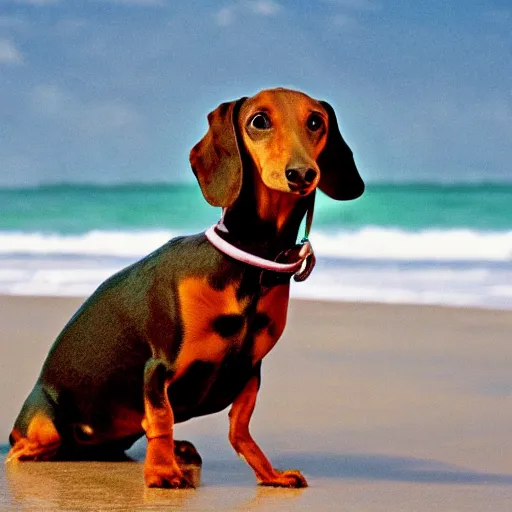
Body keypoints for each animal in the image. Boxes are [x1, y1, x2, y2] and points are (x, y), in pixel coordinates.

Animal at [6, 88, 362, 488]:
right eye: (258, 120)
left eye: (315, 121)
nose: (302, 173)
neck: (250, 262)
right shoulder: (159, 365)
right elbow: (161, 418)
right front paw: (162, 472)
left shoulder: (250, 372)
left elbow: (240, 430)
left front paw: (269, 474)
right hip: (43, 425)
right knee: (28, 447)